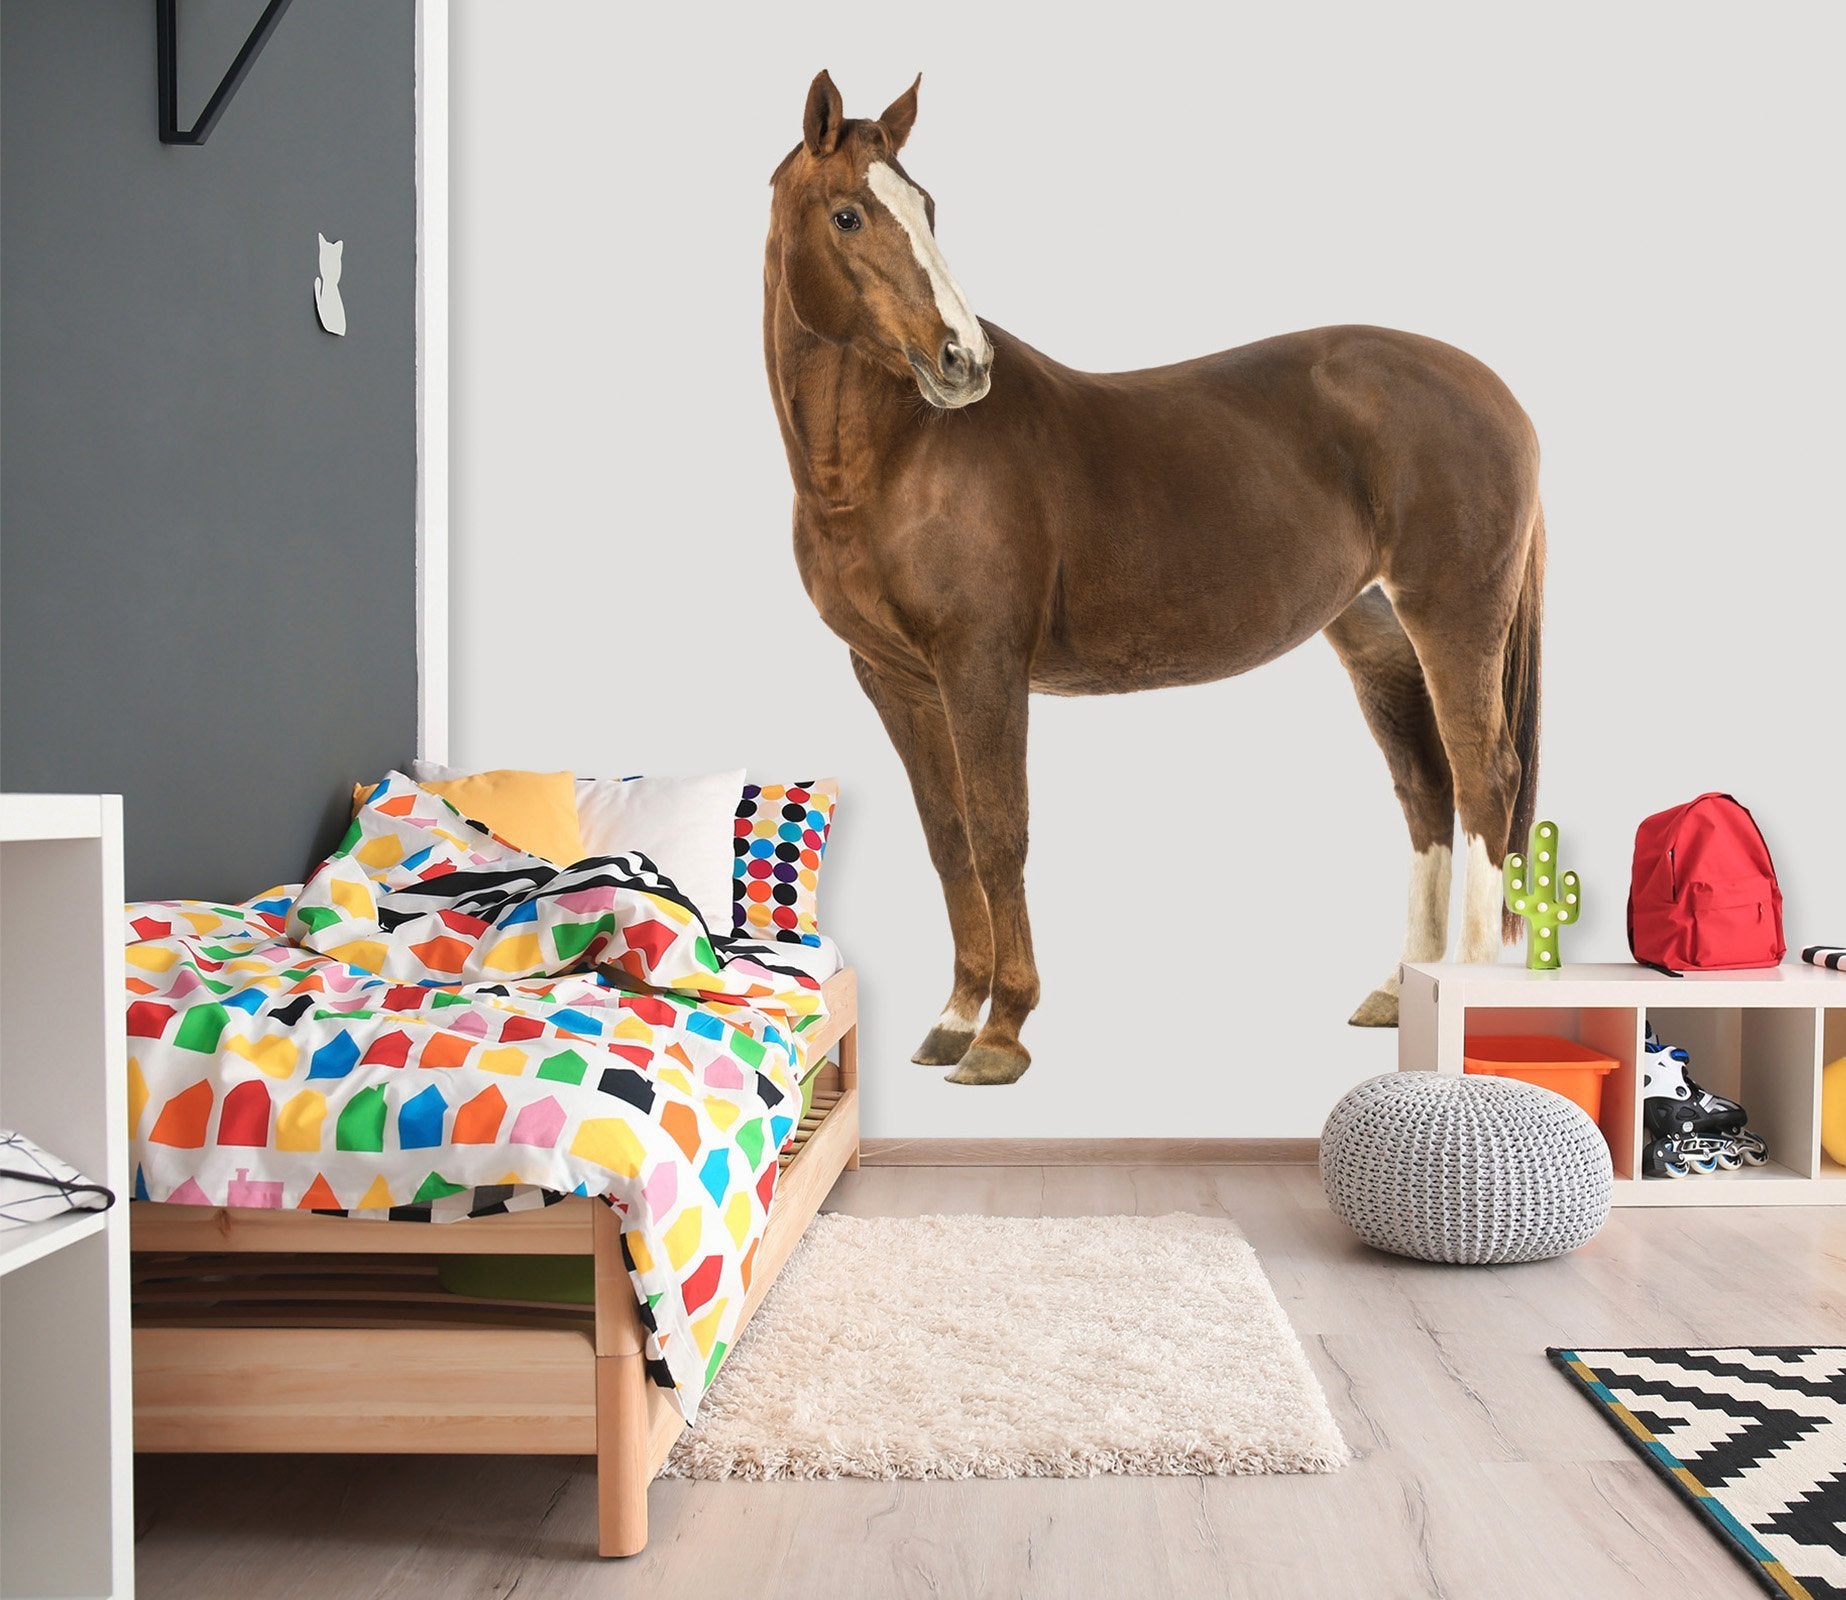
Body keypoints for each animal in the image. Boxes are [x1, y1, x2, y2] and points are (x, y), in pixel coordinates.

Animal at [764, 71, 1543, 1085]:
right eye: (850, 214)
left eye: (927, 208)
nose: (963, 362)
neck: (900, 457)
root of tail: (1496, 392)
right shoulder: (895, 679)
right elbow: (948, 840)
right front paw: (955, 1017)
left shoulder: (982, 665)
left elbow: (1000, 832)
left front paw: (1003, 1033)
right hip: (1377, 634)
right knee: (1426, 789)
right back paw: (1396, 990)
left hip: (1454, 619)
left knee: (1486, 776)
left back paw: (1466, 1000)